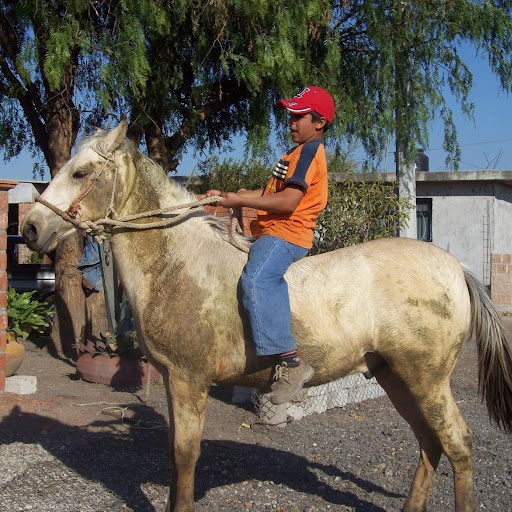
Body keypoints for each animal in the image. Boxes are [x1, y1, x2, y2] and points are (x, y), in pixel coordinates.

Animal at [21, 120, 512, 512]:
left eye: (80, 172)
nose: (29, 228)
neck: (179, 260)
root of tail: (455, 267)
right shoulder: (173, 379)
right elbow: (174, 456)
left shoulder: (188, 379)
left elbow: (185, 455)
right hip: (396, 376)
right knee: (430, 442)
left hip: (427, 378)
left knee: (458, 444)